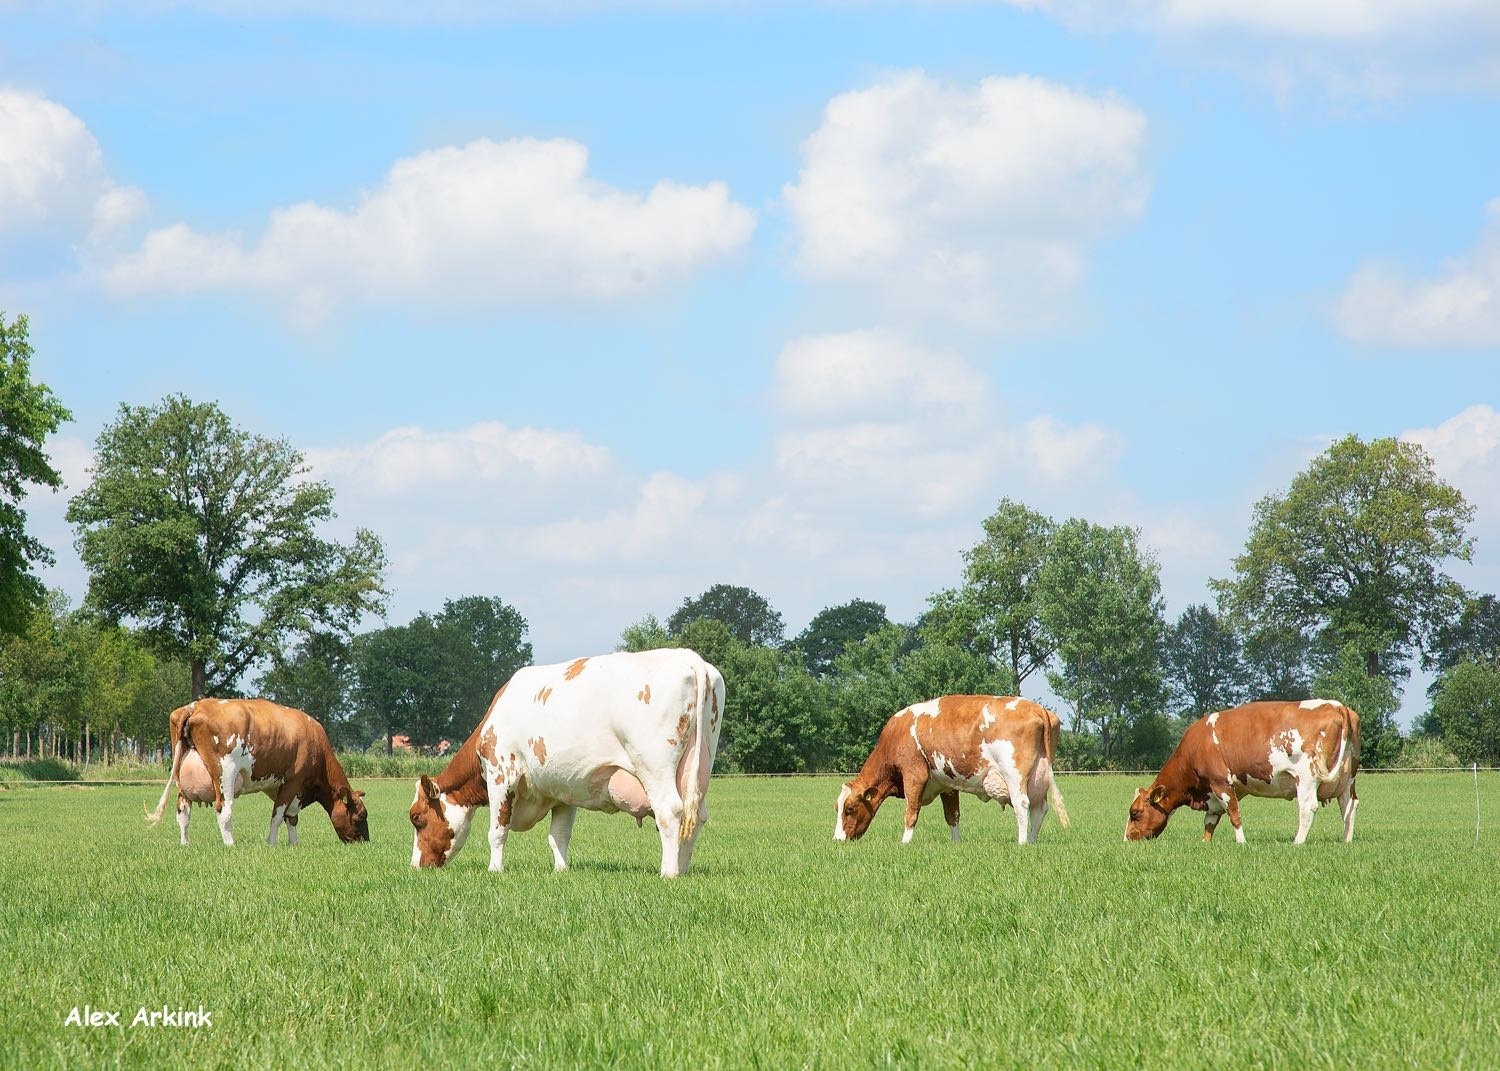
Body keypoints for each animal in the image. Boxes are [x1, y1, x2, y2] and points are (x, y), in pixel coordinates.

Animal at [144, 696, 369, 846]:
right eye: (360, 817)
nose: (365, 842)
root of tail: (195, 706)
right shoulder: (294, 781)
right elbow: (278, 816)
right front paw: (272, 843)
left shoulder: (279, 786)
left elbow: (290, 817)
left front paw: (294, 843)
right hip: (225, 774)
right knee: (223, 810)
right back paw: (230, 844)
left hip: (181, 779)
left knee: (183, 812)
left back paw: (185, 844)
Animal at [405, 648, 720, 870]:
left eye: (416, 818)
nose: (416, 866)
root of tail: (688, 656)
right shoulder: (564, 790)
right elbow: (559, 836)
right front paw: (561, 870)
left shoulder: (501, 774)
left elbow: (497, 831)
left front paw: (495, 870)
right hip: (700, 766)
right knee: (695, 816)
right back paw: (683, 868)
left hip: (655, 766)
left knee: (670, 811)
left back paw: (669, 873)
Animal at [840, 693, 1074, 852]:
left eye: (849, 808)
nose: (838, 840)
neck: (897, 733)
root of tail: (1036, 707)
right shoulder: (947, 785)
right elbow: (952, 815)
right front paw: (956, 842)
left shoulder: (914, 775)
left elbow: (911, 811)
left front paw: (905, 843)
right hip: (1039, 776)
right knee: (1039, 808)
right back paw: (1032, 841)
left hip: (1014, 775)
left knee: (1022, 805)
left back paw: (1022, 843)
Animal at [1128, 696, 1362, 846]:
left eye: (1135, 813)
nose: (1127, 839)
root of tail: (1337, 705)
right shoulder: (1214, 793)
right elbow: (1210, 820)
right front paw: (1205, 843)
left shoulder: (1221, 783)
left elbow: (1234, 814)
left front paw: (1241, 842)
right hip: (1348, 780)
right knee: (1349, 807)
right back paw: (1346, 841)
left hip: (1306, 779)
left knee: (1308, 808)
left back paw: (1298, 842)